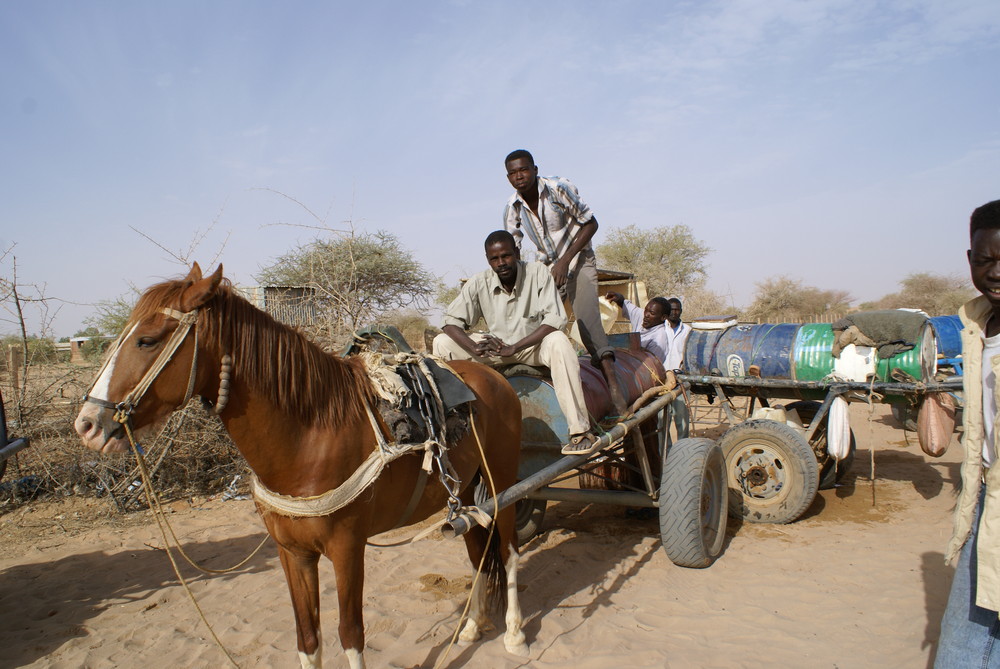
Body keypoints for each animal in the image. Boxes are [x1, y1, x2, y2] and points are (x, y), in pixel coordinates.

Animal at [76, 264, 532, 664]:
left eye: (147, 340)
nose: (87, 424)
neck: (310, 434)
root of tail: (495, 376)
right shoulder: (291, 553)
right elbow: (308, 639)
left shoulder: (348, 548)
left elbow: (351, 634)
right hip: (469, 489)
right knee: (476, 552)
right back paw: (471, 627)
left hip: (502, 484)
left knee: (507, 551)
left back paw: (515, 634)